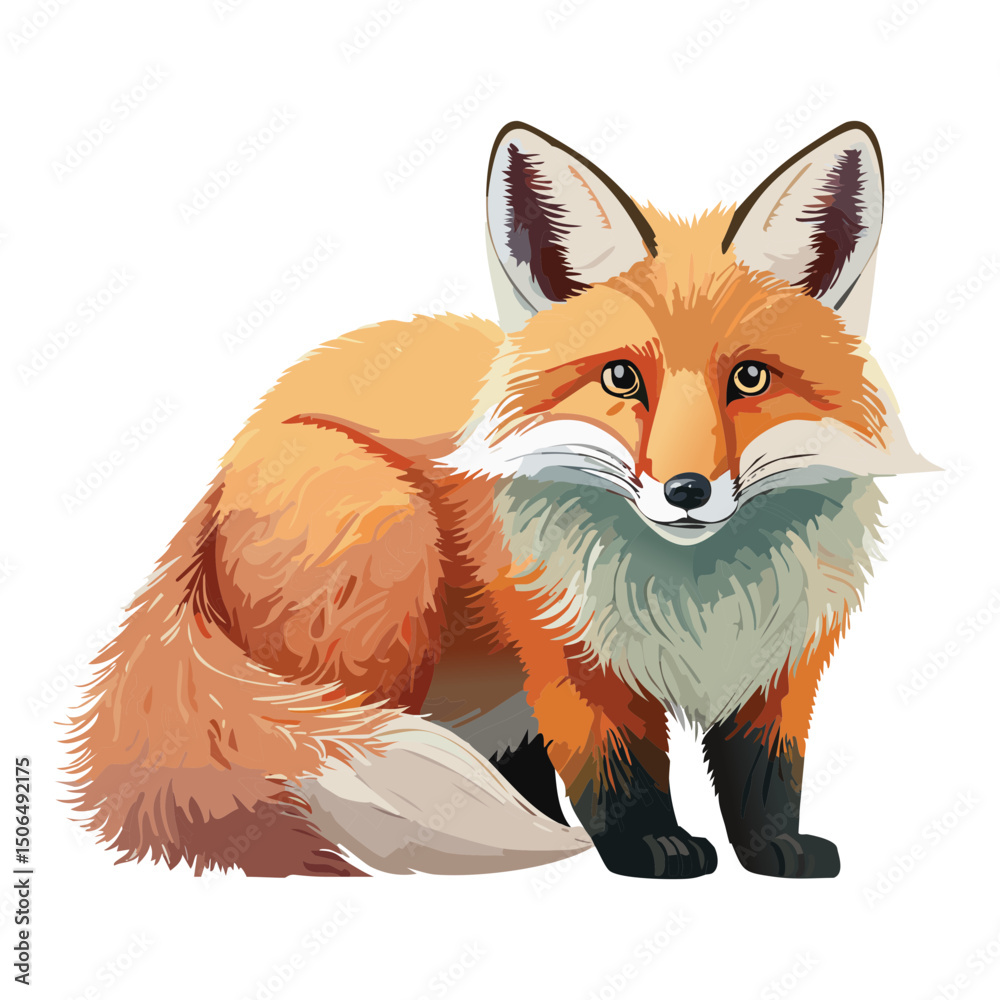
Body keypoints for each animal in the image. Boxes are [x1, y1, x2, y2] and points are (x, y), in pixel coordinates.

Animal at [67, 120, 931, 879]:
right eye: (622, 378)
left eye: (749, 378)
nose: (686, 490)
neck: (695, 599)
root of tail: (224, 468)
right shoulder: (571, 657)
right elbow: (617, 773)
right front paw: (648, 850)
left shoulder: (778, 665)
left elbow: (766, 778)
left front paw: (771, 851)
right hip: (390, 565)